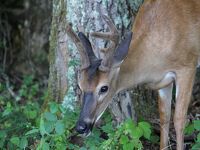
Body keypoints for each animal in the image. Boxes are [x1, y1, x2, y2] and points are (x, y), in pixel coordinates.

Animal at [66, 0, 200, 149]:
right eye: (80, 85)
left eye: (104, 88)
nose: (81, 127)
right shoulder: (164, 80)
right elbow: (164, 117)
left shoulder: (187, 66)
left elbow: (179, 119)